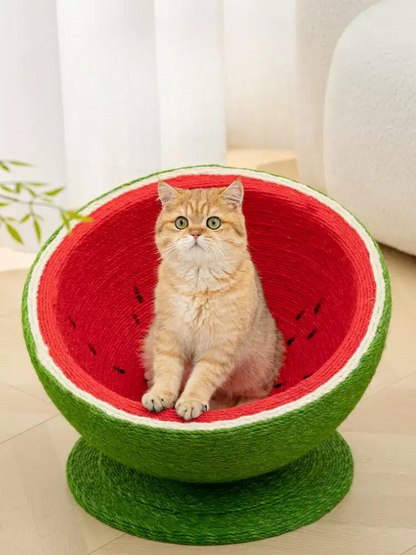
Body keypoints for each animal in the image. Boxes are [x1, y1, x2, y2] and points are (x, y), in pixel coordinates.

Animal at [141, 180, 284, 420]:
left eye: (213, 222)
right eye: (181, 222)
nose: (195, 233)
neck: (199, 283)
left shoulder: (220, 346)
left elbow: (202, 378)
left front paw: (191, 402)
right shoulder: (169, 335)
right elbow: (166, 368)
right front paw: (160, 395)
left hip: (258, 371)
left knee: (254, 395)